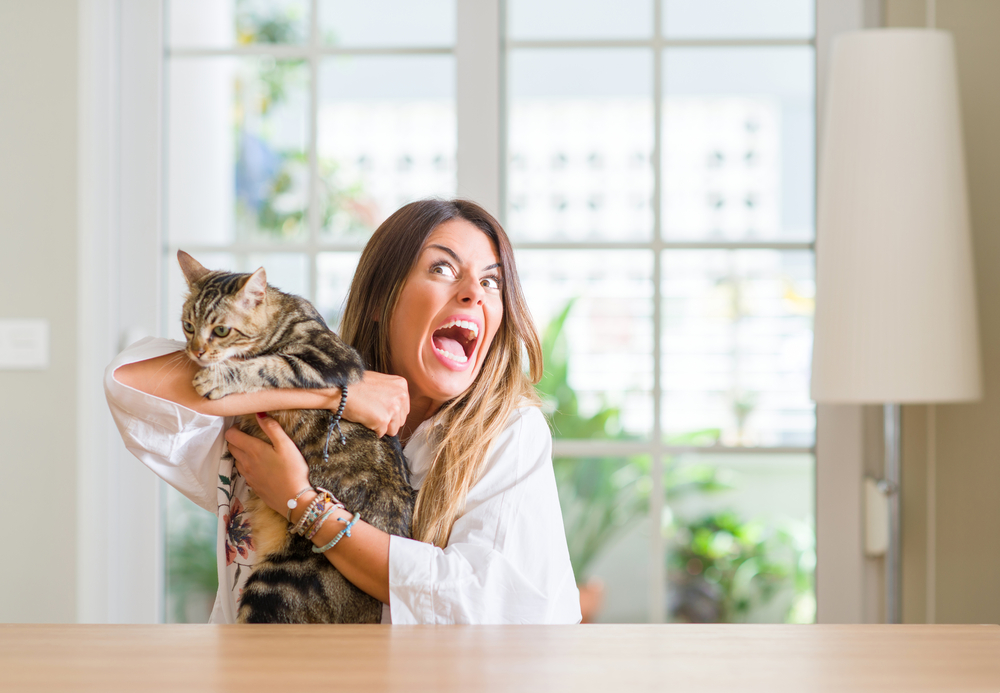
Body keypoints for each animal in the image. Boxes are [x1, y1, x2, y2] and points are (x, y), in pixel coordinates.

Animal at [178, 251, 416, 624]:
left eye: (220, 330)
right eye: (188, 326)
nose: (196, 352)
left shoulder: (329, 358)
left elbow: (269, 365)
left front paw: (219, 377)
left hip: (276, 587)